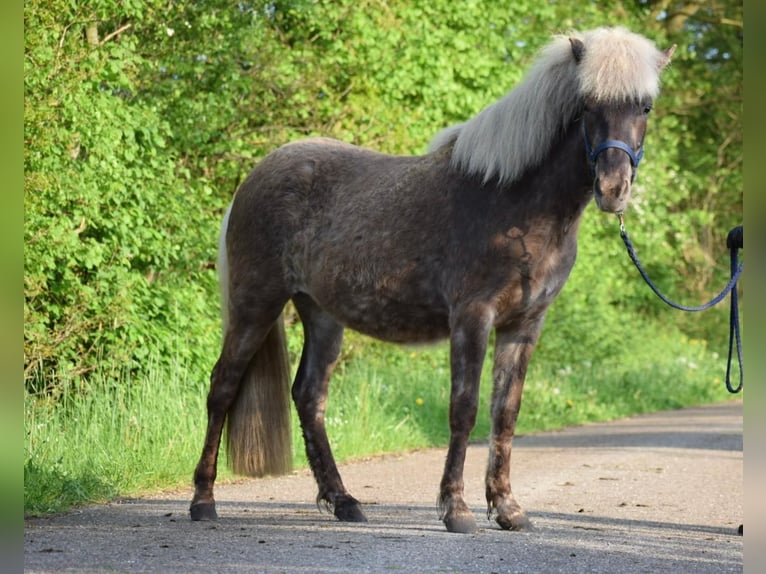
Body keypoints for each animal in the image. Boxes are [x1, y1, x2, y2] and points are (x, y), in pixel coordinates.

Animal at [192, 28, 680, 536]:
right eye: (587, 105)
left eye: (645, 107)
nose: (613, 189)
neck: (517, 202)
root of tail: (254, 178)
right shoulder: (472, 317)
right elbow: (463, 409)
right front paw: (457, 509)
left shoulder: (524, 325)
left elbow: (505, 413)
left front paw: (507, 508)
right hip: (256, 305)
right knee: (222, 387)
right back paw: (203, 501)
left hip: (322, 315)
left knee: (309, 398)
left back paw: (345, 501)